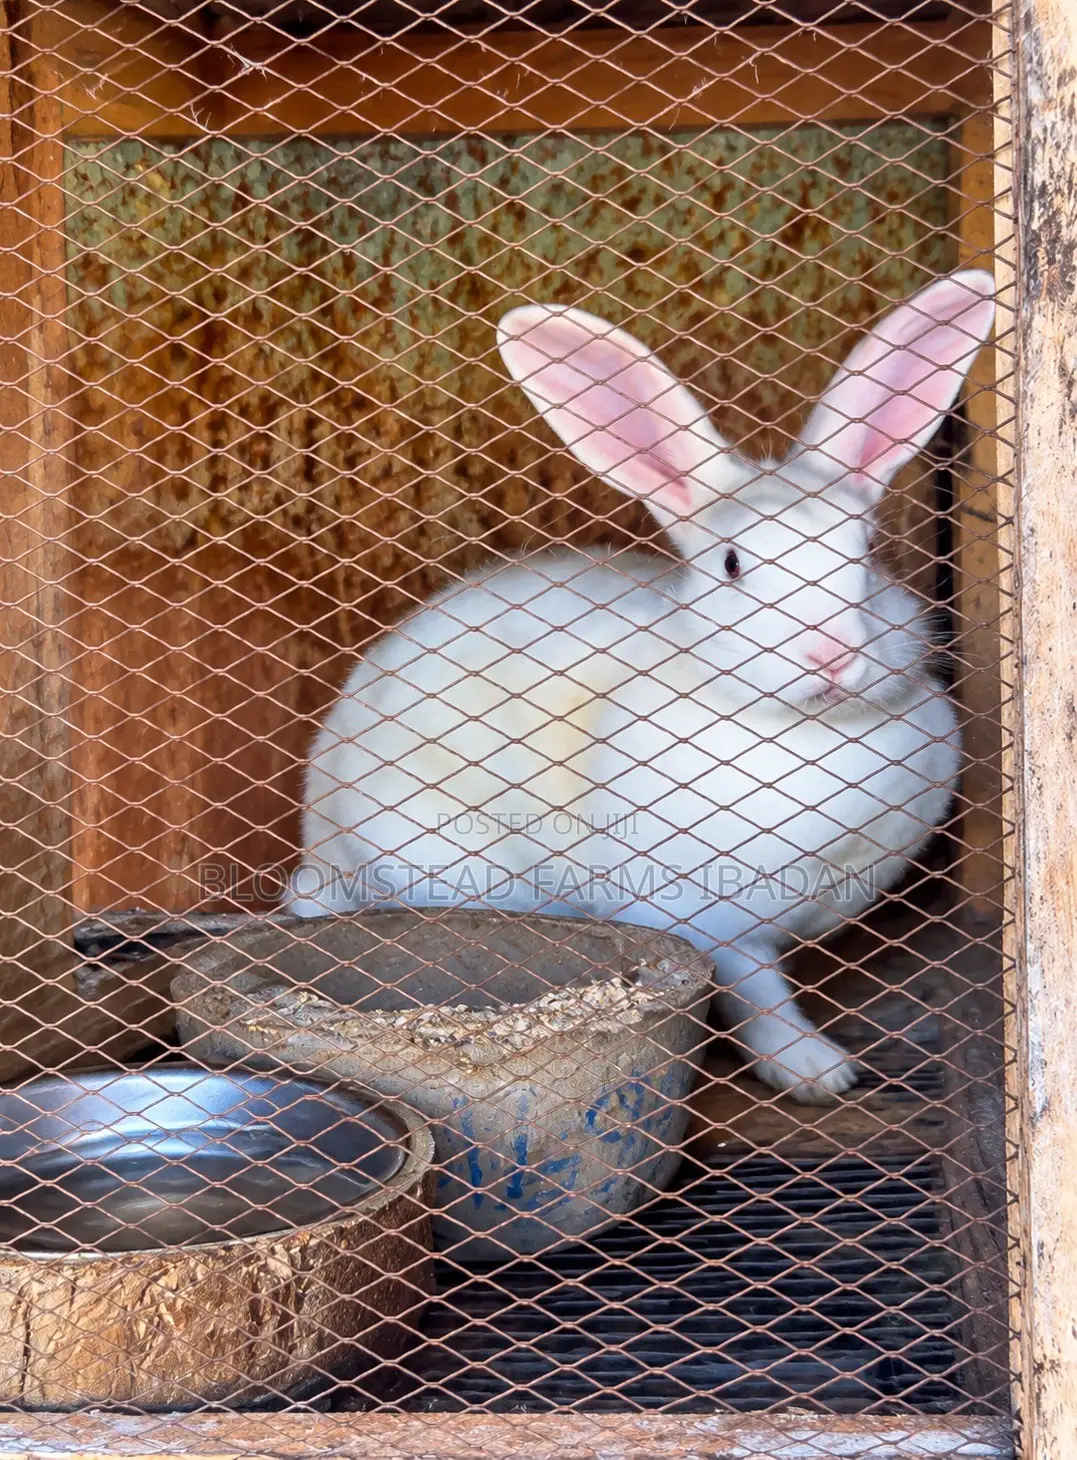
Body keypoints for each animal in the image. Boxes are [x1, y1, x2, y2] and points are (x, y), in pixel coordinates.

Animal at [285, 270, 996, 1103]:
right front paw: (814, 1071)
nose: (830, 654)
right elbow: (757, 991)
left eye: (867, 551)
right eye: (731, 563)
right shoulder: (706, 918)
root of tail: (318, 842)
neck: (808, 727)